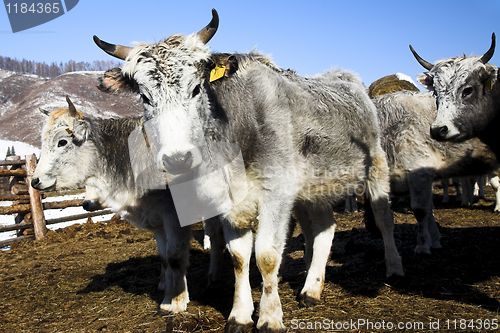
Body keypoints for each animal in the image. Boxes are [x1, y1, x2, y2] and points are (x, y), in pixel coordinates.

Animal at [94, 9, 402, 330]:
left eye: (196, 88)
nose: (177, 159)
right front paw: (240, 315)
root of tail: (346, 79)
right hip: (312, 191)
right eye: (145, 97)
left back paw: (394, 268)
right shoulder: (230, 201)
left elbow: (266, 255)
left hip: (376, 168)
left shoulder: (276, 194)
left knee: (383, 219)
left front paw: (269, 317)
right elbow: (239, 258)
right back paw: (311, 288)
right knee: (324, 229)